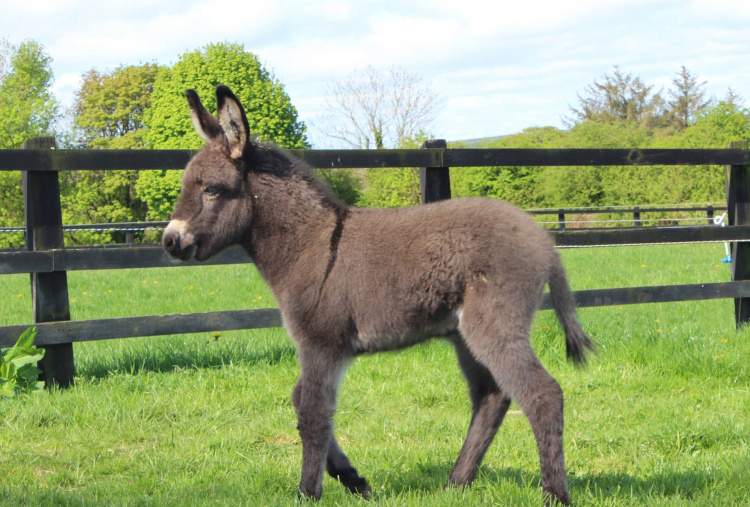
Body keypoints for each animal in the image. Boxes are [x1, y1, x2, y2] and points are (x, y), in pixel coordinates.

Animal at [163, 85, 592, 506]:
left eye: (212, 190)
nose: (169, 241)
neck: (310, 245)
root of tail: (543, 240)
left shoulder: (320, 344)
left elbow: (312, 415)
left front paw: (308, 493)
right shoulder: (323, 349)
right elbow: (301, 401)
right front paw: (355, 480)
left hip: (494, 323)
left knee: (541, 394)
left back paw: (554, 494)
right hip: (463, 333)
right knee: (491, 396)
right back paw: (456, 484)